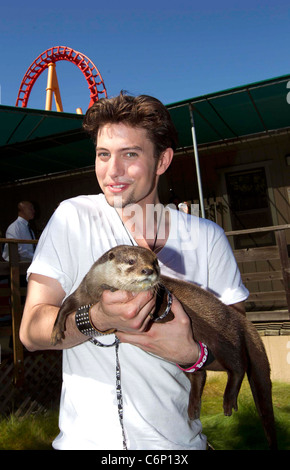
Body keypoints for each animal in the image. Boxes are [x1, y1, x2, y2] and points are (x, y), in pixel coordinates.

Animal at [51, 244, 278, 450]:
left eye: (155, 263)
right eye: (131, 261)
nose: (148, 270)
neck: (97, 292)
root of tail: (239, 320)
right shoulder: (84, 291)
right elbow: (65, 305)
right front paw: (56, 331)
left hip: (223, 337)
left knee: (238, 365)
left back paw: (229, 401)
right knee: (199, 374)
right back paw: (193, 409)